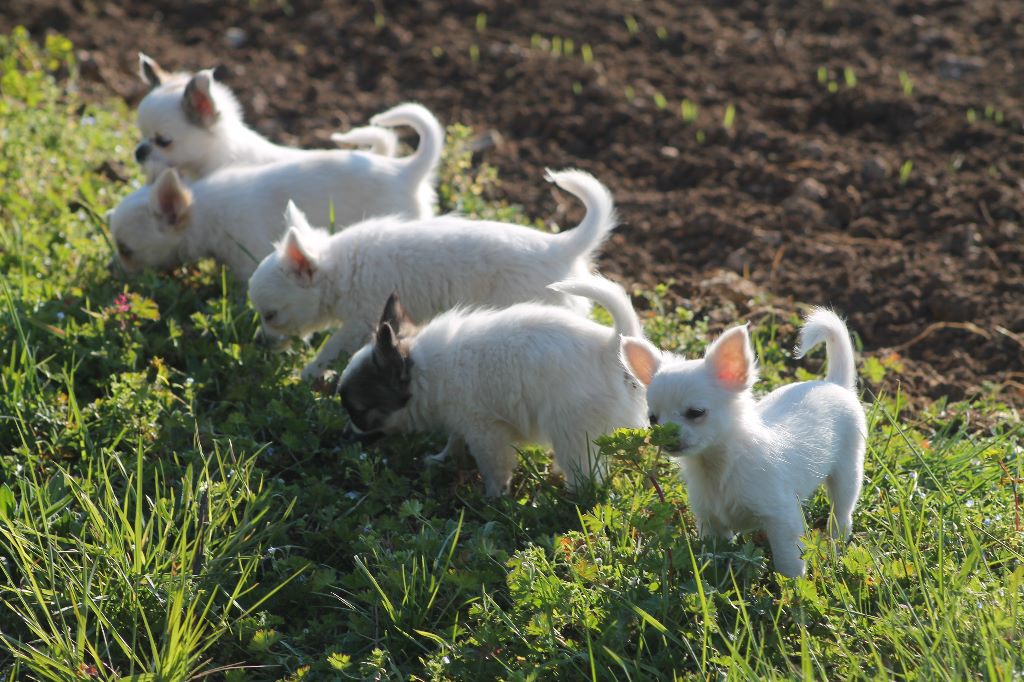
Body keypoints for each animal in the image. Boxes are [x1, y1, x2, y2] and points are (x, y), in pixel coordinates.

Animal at [247, 166, 614, 378]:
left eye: (271, 315)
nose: (261, 343)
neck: (340, 266)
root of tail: (560, 245)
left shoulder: (360, 321)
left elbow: (331, 348)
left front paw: (308, 372)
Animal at [339, 276, 651, 493]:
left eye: (358, 412)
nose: (346, 435)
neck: (421, 371)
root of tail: (610, 347)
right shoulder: (463, 421)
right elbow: (454, 439)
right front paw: (441, 459)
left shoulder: (485, 431)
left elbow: (494, 469)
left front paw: (492, 498)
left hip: (573, 431)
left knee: (584, 473)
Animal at [618, 311, 868, 577]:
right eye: (653, 419)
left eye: (696, 413)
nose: (667, 437)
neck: (717, 467)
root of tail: (834, 383)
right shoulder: (711, 523)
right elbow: (716, 553)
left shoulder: (782, 517)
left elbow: (788, 561)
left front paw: (792, 584)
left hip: (847, 471)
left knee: (841, 513)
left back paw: (836, 545)